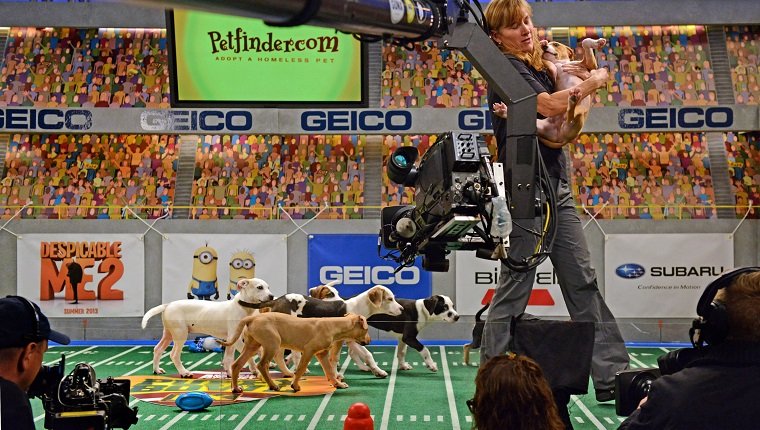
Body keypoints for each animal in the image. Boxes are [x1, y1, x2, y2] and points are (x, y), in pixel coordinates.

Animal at [141, 278, 274, 378]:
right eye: (260, 287)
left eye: (268, 287)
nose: (272, 296)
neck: (243, 307)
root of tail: (168, 305)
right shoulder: (234, 339)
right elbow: (242, 355)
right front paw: (246, 371)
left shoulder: (235, 340)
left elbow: (238, 356)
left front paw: (240, 372)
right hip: (180, 335)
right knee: (174, 355)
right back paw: (184, 372)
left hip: (168, 334)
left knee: (158, 349)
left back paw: (157, 370)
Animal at [220, 312, 372, 394]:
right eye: (366, 329)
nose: (369, 340)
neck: (334, 325)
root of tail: (252, 318)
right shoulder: (309, 350)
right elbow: (300, 368)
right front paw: (295, 385)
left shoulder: (321, 354)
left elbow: (329, 371)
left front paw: (337, 384)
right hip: (272, 344)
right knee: (262, 365)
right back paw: (273, 385)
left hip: (252, 346)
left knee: (236, 365)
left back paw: (235, 388)